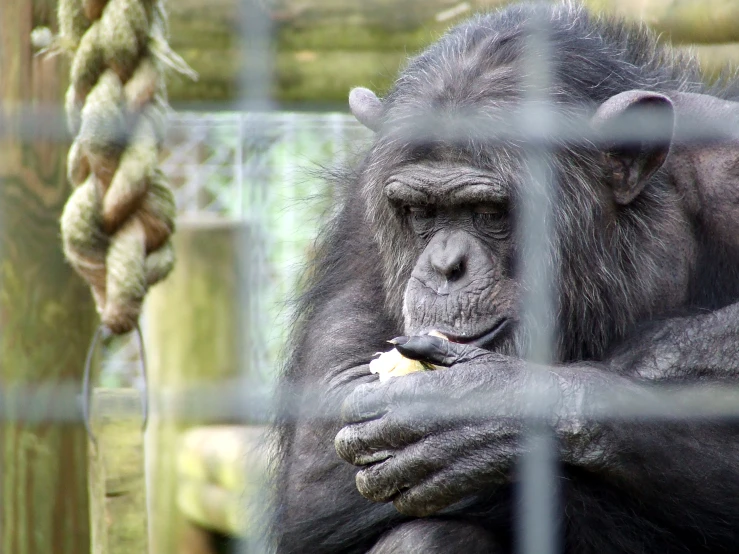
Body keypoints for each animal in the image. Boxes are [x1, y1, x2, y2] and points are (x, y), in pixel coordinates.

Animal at [268, 2, 739, 548]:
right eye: (420, 211)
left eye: (490, 212)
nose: (445, 267)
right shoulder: (362, 225)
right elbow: (316, 465)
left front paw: (481, 405)